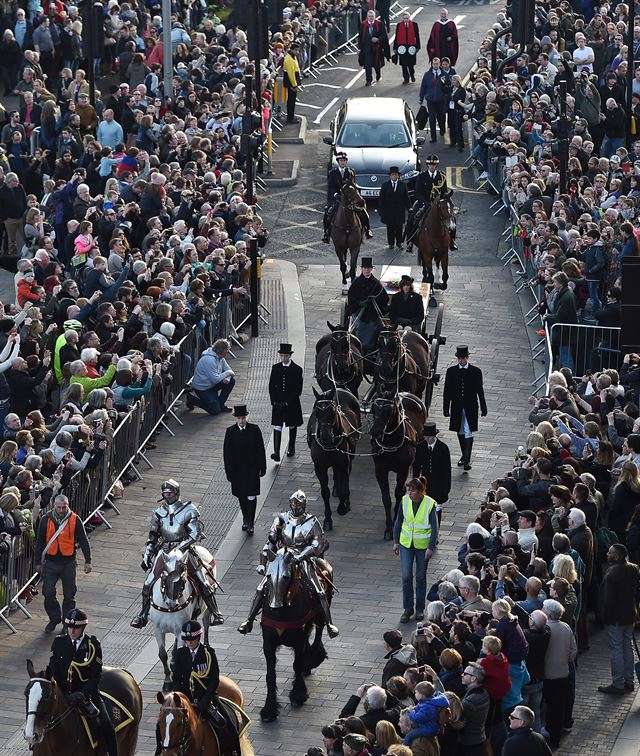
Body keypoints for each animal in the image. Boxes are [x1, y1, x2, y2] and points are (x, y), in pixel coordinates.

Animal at [149, 544, 216, 692]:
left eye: (182, 579)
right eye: (164, 577)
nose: (172, 603)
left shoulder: (180, 630)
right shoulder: (158, 630)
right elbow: (163, 654)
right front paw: (168, 681)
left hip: (206, 608)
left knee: (206, 622)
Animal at [258, 548, 332, 724]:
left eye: (285, 577)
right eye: (268, 576)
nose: (274, 606)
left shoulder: (299, 639)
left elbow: (297, 664)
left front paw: (298, 694)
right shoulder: (268, 643)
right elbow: (270, 675)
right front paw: (269, 709)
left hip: (320, 612)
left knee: (319, 632)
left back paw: (313, 657)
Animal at [308, 386, 362, 528]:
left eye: (332, 413)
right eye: (317, 413)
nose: (326, 436)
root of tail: (341, 388)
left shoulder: (343, 464)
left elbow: (345, 488)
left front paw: (342, 507)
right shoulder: (319, 467)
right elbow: (324, 492)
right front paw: (327, 519)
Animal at [370, 392, 424, 540]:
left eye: (390, 410)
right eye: (374, 408)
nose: (375, 431)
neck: (390, 441)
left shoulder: (403, 470)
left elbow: (398, 493)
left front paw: (395, 522)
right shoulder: (380, 470)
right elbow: (386, 498)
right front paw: (388, 528)